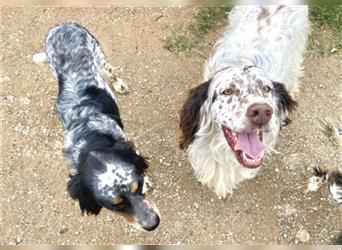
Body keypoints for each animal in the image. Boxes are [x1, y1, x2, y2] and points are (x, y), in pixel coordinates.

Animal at [32, 23, 160, 230]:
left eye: (138, 187)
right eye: (115, 205)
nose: (153, 224)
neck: (90, 137)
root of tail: (62, 26)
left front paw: (147, 179)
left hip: (100, 57)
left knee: (111, 72)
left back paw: (119, 84)